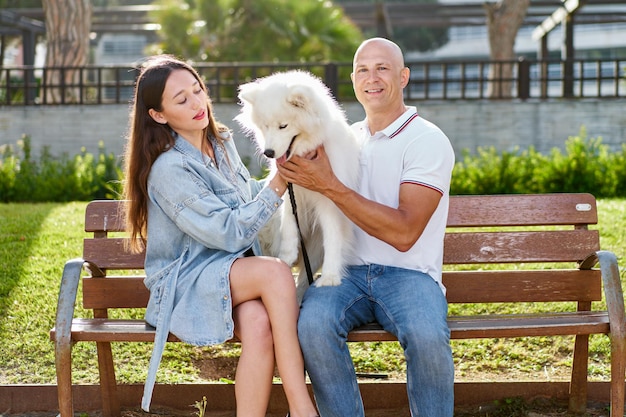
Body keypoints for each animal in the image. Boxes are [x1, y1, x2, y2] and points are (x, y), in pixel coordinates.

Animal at [235, 70, 360, 296]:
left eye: (283, 126)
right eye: (265, 126)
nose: (269, 153)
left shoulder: (330, 201)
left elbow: (333, 237)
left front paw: (330, 277)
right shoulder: (289, 193)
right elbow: (289, 226)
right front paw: (286, 256)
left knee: (303, 282)